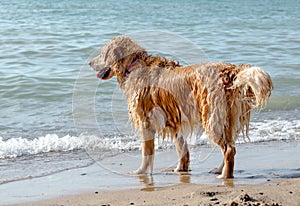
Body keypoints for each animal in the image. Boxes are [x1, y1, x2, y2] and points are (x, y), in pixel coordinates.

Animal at [88, 36, 274, 178]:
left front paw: (140, 172)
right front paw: (180, 169)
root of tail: (231, 71)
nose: (89, 62)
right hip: (227, 119)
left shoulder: (145, 121)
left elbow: (146, 152)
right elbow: (181, 148)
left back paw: (225, 176)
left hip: (212, 119)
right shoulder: (175, 117)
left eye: (102, 53)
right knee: (231, 147)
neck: (134, 65)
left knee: (229, 149)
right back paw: (219, 170)